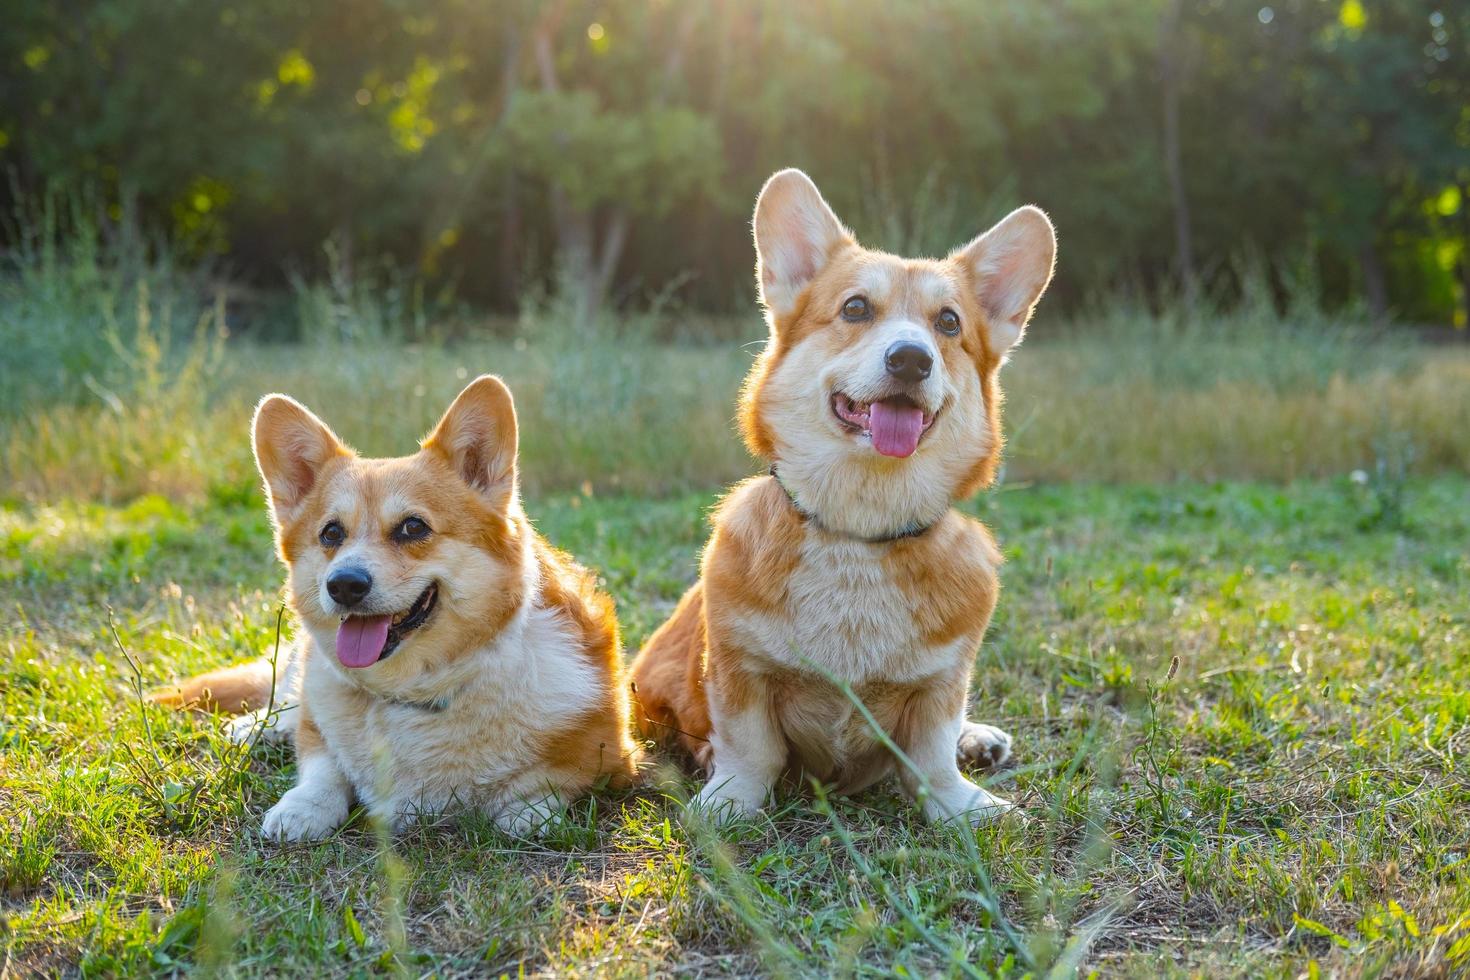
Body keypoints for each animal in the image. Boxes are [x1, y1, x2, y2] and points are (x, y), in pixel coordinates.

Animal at [159, 379, 637, 846]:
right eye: (330, 533)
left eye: (413, 527)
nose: (344, 585)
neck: (416, 691)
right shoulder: (320, 727)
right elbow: (323, 764)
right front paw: (302, 807)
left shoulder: (612, 754)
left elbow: (547, 781)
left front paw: (528, 811)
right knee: (286, 696)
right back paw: (259, 726)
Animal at [626, 170, 1052, 828]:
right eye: (855, 308)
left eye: (949, 323)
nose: (911, 359)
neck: (859, 531)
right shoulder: (740, 672)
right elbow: (751, 747)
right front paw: (729, 801)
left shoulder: (941, 684)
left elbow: (932, 756)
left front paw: (963, 805)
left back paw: (978, 739)